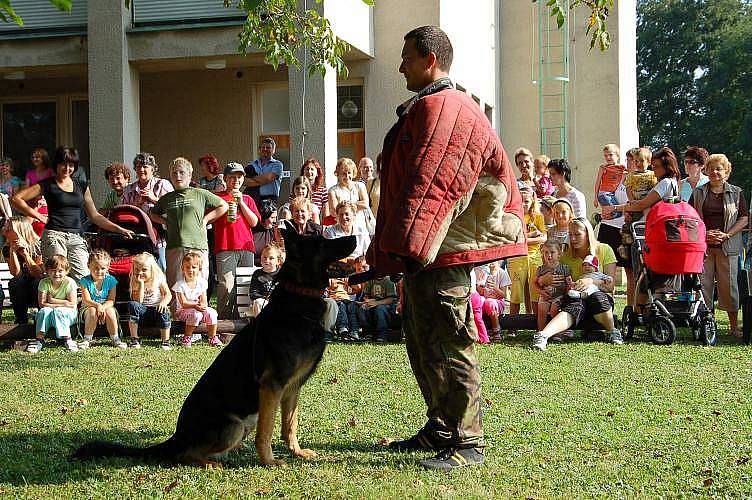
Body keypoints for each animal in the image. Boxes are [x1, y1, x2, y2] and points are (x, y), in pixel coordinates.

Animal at [75, 225, 356, 466]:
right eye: (322, 243)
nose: (354, 238)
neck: (299, 298)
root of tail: (177, 437)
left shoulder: (292, 387)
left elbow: (289, 424)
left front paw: (296, 451)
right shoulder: (272, 387)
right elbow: (266, 431)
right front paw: (269, 461)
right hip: (235, 425)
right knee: (184, 455)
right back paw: (210, 462)